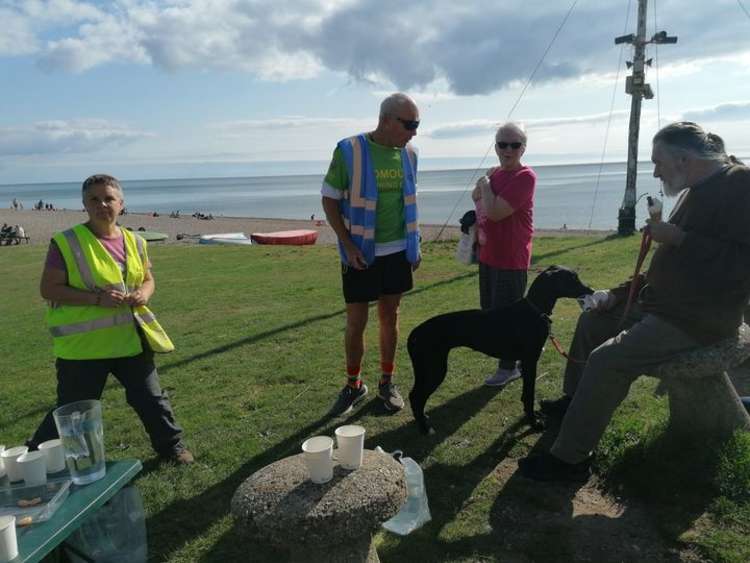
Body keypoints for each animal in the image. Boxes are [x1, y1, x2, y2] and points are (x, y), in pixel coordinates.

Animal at [408, 266, 596, 436]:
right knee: (415, 397)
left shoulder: (526, 363)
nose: (591, 290)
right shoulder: (530, 361)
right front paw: (533, 422)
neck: (534, 310)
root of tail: (414, 334)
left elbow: (525, 394)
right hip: (434, 370)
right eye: (572, 279)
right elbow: (529, 394)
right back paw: (425, 428)